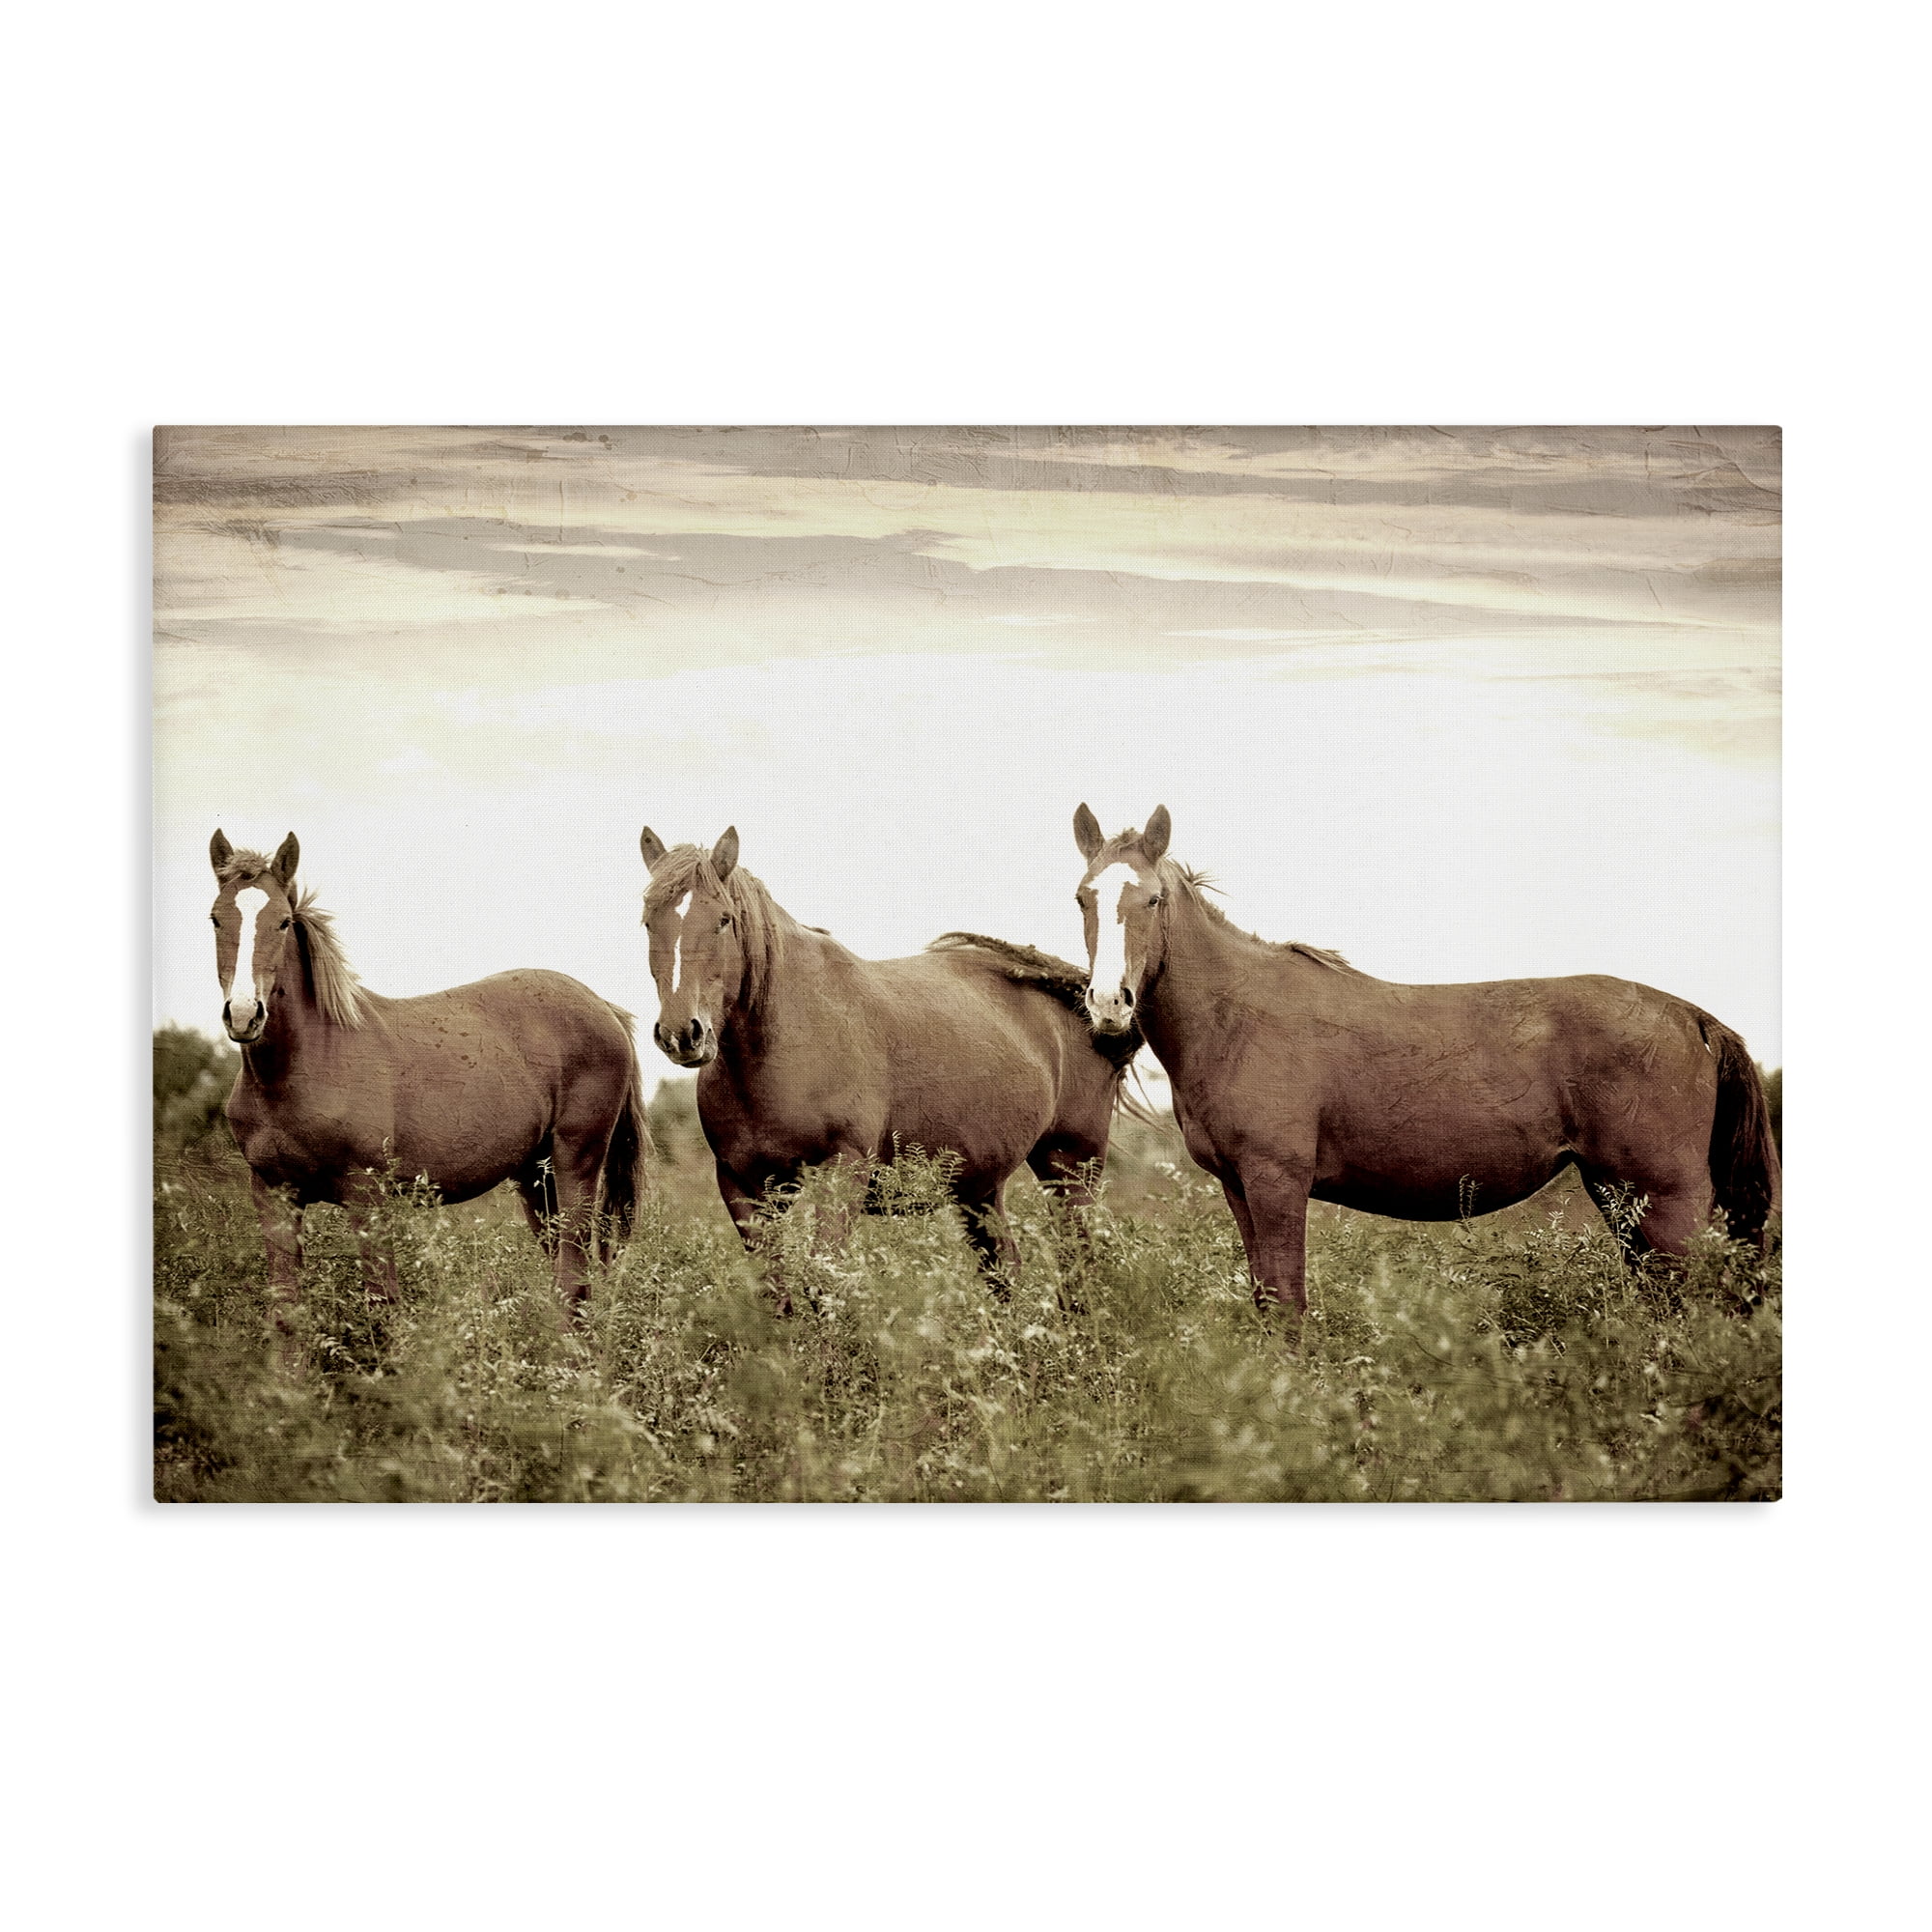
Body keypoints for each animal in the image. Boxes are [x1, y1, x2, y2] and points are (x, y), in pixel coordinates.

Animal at [204, 830, 648, 1325]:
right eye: (216, 919)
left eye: (282, 922)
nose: (244, 1015)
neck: (301, 1066)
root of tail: (604, 1006)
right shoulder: (274, 1196)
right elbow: (286, 1311)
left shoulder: (367, 1197)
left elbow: (382, 1305)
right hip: (536, 1176)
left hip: (576, 1164)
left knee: (573, 1275)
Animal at [638, 824, 1139, 1301]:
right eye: (647, 920)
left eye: (723, 919)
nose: (682, 1033)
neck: (782, 1043)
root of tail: (1089, 1004)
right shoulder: (744, 1187)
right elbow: (776, 1291)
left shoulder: (842, 1174)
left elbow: (823, 1283)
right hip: (980, 1188)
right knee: (1004, 1270)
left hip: (1069, 1170)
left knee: (1077, 1265)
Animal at [1070, 803, 1781, 1314]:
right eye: (1083, 897)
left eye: (1153, 899)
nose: (1108, 1003)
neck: (1236, 1017)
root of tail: (1695, 1019)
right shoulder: (1239, 1186)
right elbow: (1267, 1302)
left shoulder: (1277, 1183)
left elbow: (1289, 1303)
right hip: (1620, 1197)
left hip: (1666, 1201)